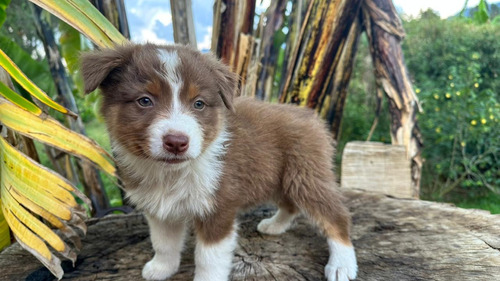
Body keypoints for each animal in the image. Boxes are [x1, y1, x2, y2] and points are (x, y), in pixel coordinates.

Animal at [80, 42, 358, 278]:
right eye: (144, 100)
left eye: (199, 104)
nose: (177, 142)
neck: (172, 173)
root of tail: (310, 116)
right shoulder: (160, 208)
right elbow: (163, 242)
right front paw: (161, 268)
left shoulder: (218, 207)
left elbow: (209, 259)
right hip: (278, 177)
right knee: (291, 204)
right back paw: (275, 225)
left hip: (305, 174)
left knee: (336, 215)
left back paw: (342, 264)